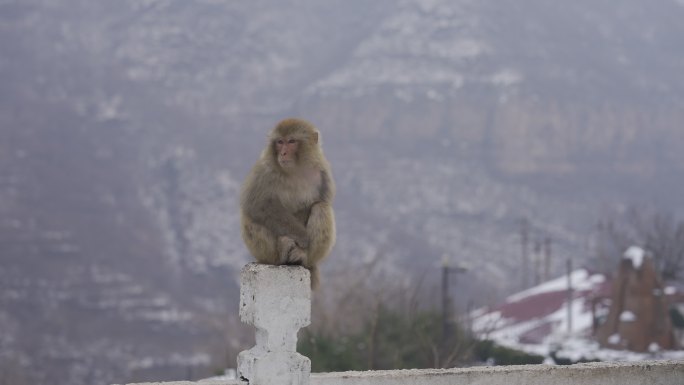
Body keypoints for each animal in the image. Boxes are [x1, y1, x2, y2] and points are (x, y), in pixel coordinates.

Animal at [240, 118, 336, 286]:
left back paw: (303, 256)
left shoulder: (323, 173)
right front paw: (303, 236)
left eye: (291, 141)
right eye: (280, 142)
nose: (283, 153)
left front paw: (304, 245)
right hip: (265, 254)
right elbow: (256, 204)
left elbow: (320, 202)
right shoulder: (263, 171)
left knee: (321, 207)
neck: (295, 169)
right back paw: (281, 252)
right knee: (251, 215)